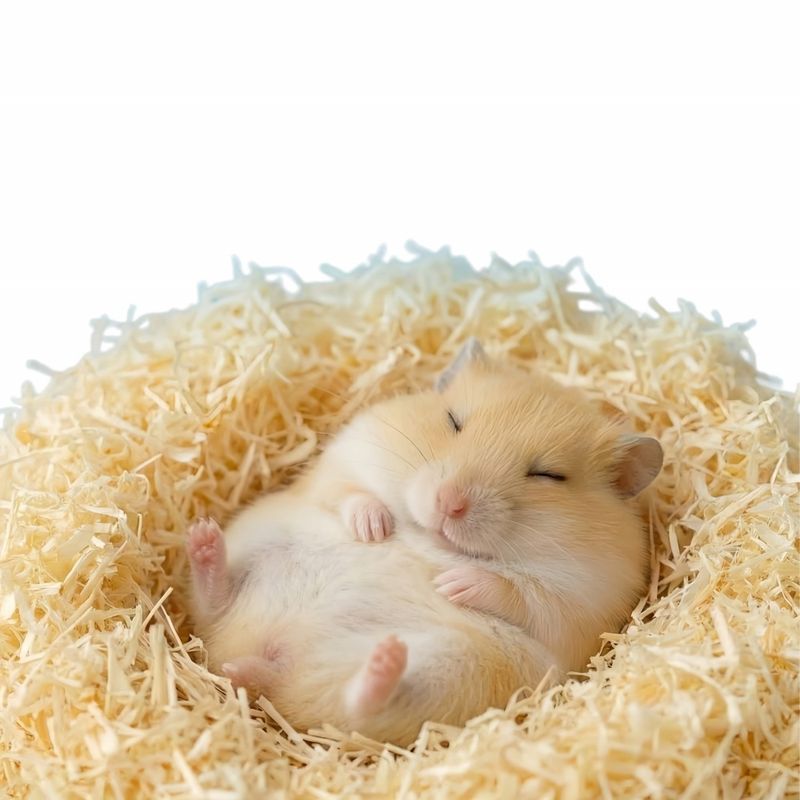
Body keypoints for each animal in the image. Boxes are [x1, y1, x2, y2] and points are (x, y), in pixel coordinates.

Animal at [185, 338, 663, 745]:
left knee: (359, 705)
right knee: (213, 607)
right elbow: (350, 493)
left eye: (548, 475)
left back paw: (380, 664)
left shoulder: (581, 603)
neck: (435, 539)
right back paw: (204, 543)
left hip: (454, 669)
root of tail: (267, 648)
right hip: (264, 534)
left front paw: (451, 583)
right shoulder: (347, 458)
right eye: (453, 421)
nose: (449, 503)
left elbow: (521, 593)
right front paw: (374, 529)